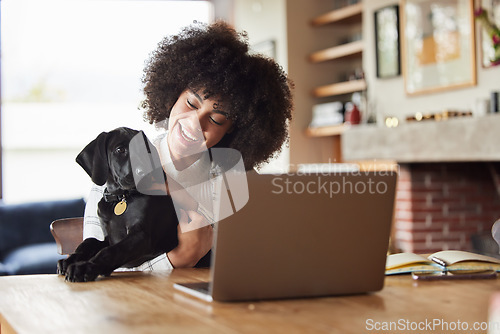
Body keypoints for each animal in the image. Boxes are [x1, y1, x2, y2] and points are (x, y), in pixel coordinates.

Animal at [57, 127, 179, 282]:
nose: (143, 173)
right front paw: (70, 260)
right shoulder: (108, 238)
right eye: (120, 150)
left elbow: (111, 251)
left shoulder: (141, 235)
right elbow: (89, 242)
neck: (121, 198)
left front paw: (85, 267)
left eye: (144, 149)